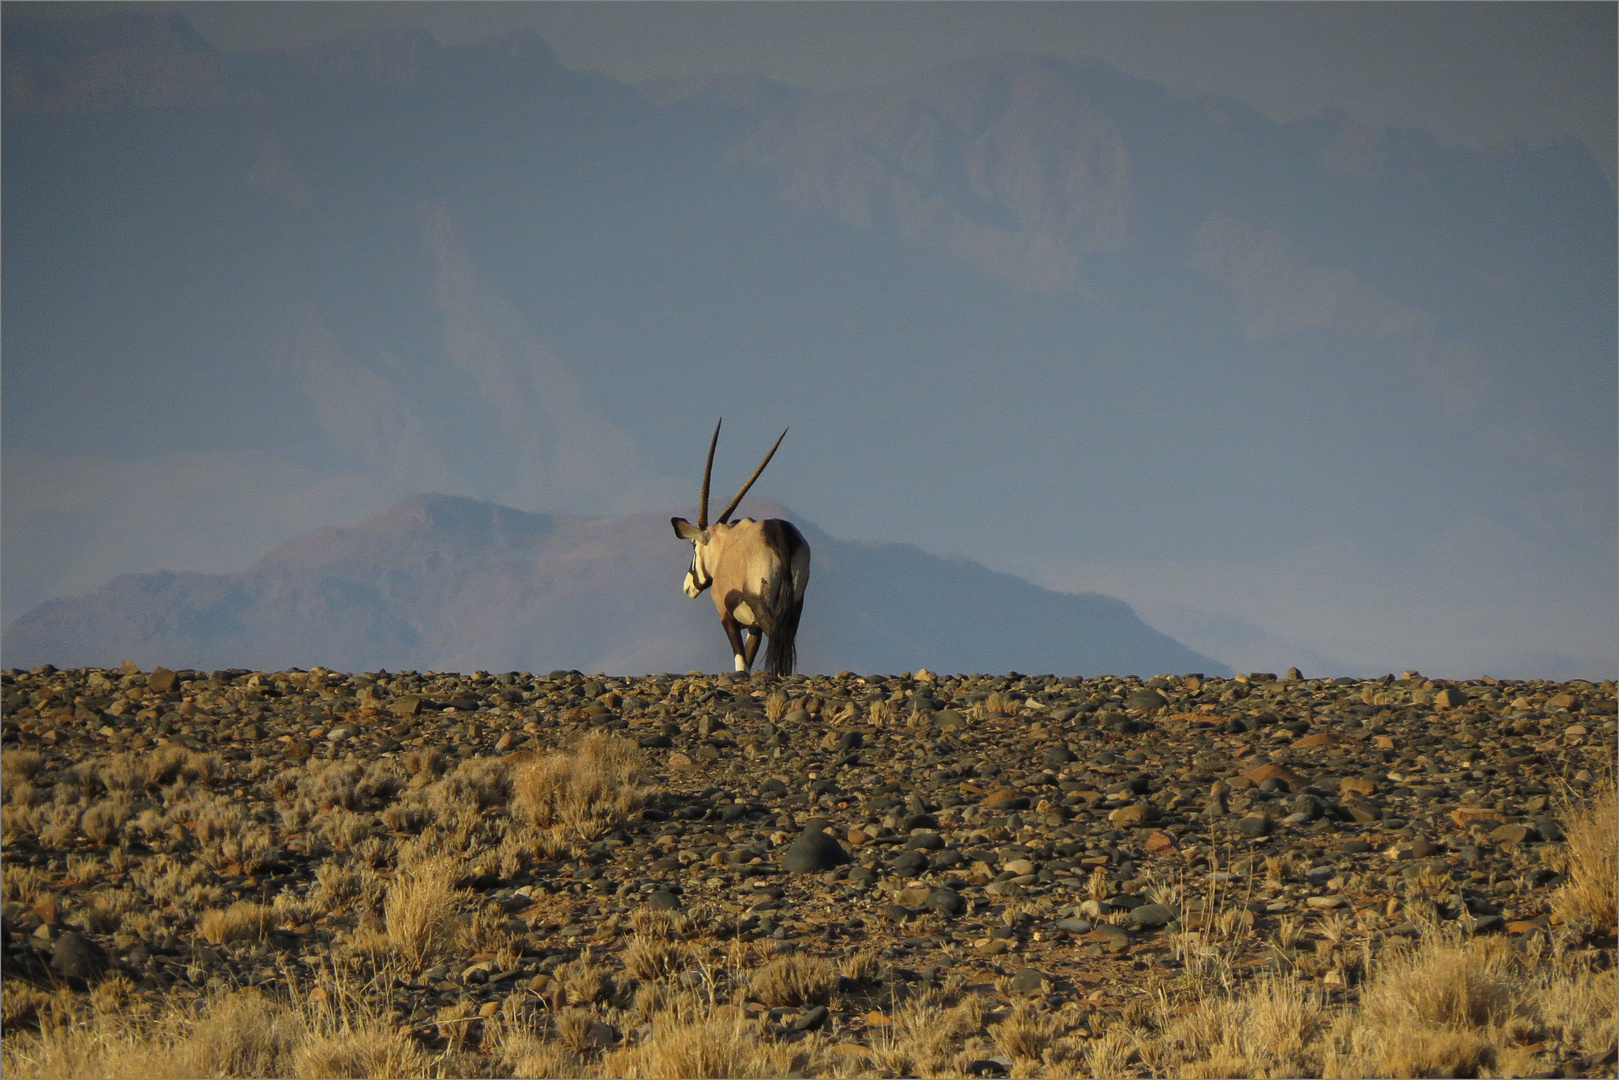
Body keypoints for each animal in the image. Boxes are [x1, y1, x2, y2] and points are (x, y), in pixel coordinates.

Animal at [670, 420, 809, 676]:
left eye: (693, 545)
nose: (687, 587)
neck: (725, 544)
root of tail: (779, 533)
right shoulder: (753, 628)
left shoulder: (727, 616)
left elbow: (741, 661)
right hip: (795, 603)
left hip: (761, 602)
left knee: (775, 636)